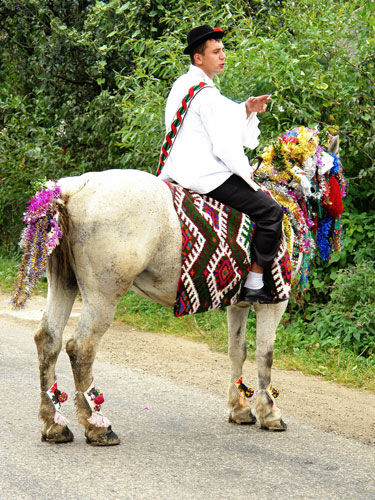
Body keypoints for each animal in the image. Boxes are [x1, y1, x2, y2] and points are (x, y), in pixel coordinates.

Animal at [33, 137, 340, 446]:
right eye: (336, 172)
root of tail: (74, 187)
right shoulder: (274, 303)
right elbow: (266, 355)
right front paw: (270, 413)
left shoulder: (237, 305)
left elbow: (237, 351)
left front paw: (240, 409)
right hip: (103, 294)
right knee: (81, 348)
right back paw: (97, 425)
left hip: (64, 282)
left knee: (48, 339)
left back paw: (54, 424)